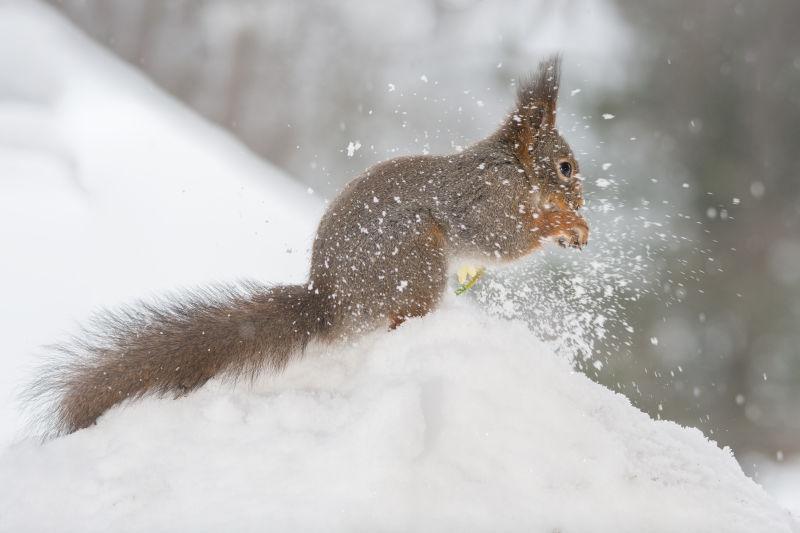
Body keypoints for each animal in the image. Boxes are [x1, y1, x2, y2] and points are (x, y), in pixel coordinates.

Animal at [28, 55, 588, 436]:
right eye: (564, 167)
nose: (581, 198)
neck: (514, 169)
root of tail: (331, 301)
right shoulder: (483, 201)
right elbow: (502, 238)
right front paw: (564, 223)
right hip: (414, 258)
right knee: (402, 317)